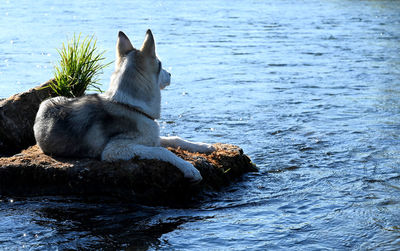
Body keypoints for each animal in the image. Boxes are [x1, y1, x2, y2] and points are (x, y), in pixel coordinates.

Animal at [33, 29, 216, 182]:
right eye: (161, 64)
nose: (170, 74)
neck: (130, 106)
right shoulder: (116, 149)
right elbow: (163, 151)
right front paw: (189, 169)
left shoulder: (151, 138)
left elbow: (174, 139)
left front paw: (202, 146)